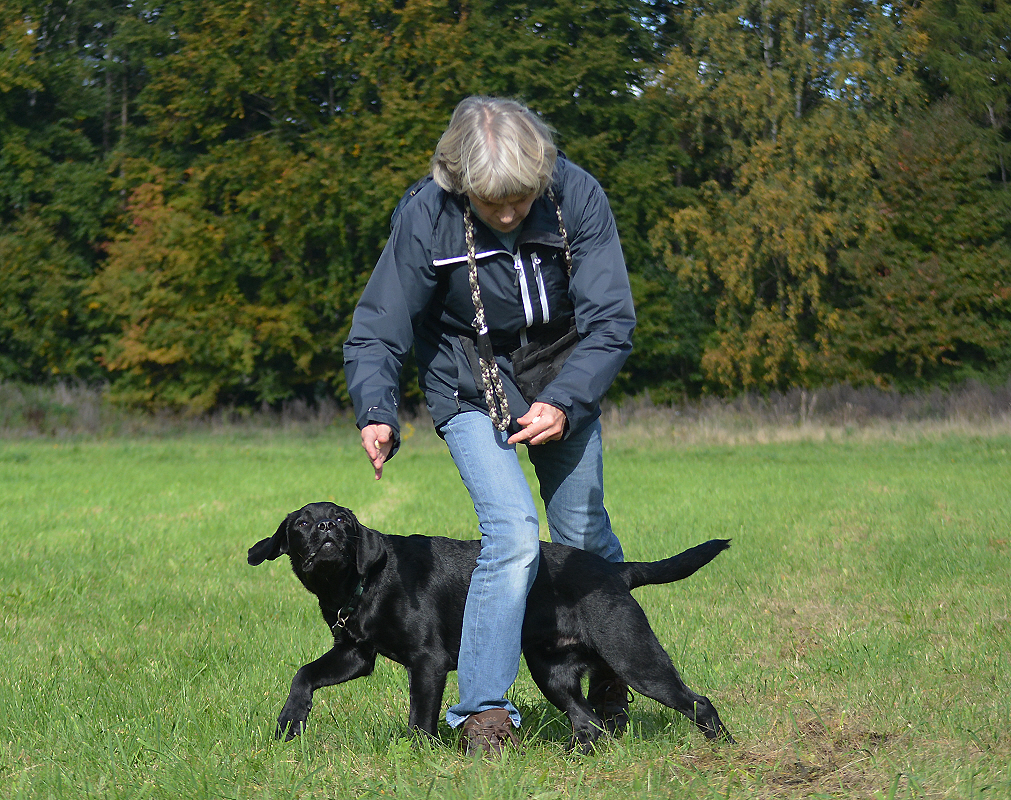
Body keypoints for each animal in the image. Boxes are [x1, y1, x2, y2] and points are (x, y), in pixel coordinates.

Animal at [247, 501, 731, 752]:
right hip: (552, 673)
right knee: (588, 723)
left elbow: (419, 719)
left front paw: (418, 757)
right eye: (302, 523)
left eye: (344, 520)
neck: (362, 582)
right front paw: (291, 721)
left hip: (634, 655)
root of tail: (615, 571)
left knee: (699, 703)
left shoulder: (427, 662)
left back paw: (723, 749)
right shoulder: (355, 654)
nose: (328, 527)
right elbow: (304, 674)